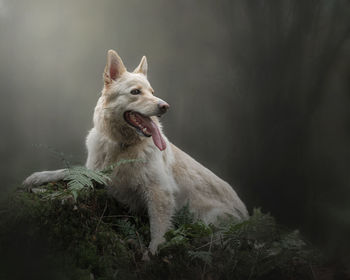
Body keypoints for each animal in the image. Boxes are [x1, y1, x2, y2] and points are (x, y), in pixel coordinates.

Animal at [23, 49, 247, 254]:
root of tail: (246, 216)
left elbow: (158, 232)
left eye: (152, 92)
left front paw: (152, 255)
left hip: (208, 221)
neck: (121, 147)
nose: (165, 106)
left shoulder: (160, 193)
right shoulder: (99, 174)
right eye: (135, 92)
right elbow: (68, 171)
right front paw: (38, 177)